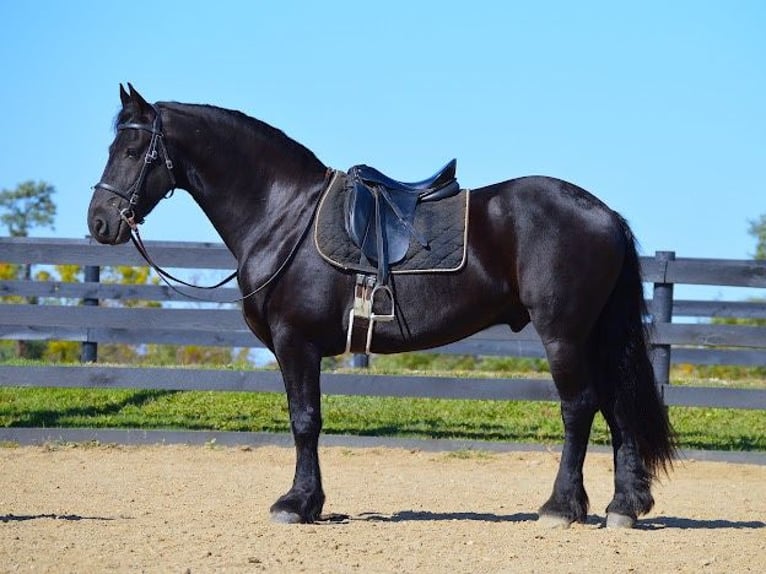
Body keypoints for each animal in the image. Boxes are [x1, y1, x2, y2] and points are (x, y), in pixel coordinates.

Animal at [90, 85, 676, 532]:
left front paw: (297, 504)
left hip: (563, 335)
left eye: (132, 151)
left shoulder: (296, 343)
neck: (284, 215)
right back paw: (624, 507)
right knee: (616, 408)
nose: (99, 221)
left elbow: (305, 420)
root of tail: (603, 214)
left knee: (579, 408)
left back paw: (560, 507)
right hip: (594, 335)